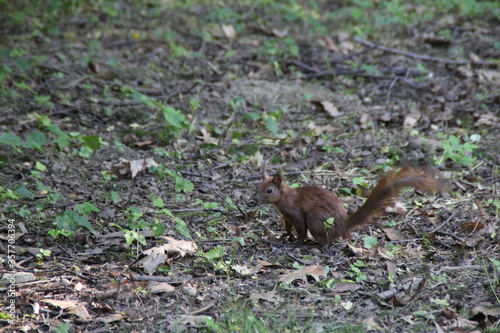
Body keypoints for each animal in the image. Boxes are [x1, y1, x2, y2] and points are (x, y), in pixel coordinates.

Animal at [256, 162, 444, 245]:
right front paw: (286, 236)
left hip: (317, 216)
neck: (283, 198)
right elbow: (288, 227)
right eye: (258, 186)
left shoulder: (295, 212)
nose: (256, 198)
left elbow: (301, 228)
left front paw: (298, 242)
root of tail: (343, 225)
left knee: (327, 241)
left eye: (269, 190)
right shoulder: (286, 216)